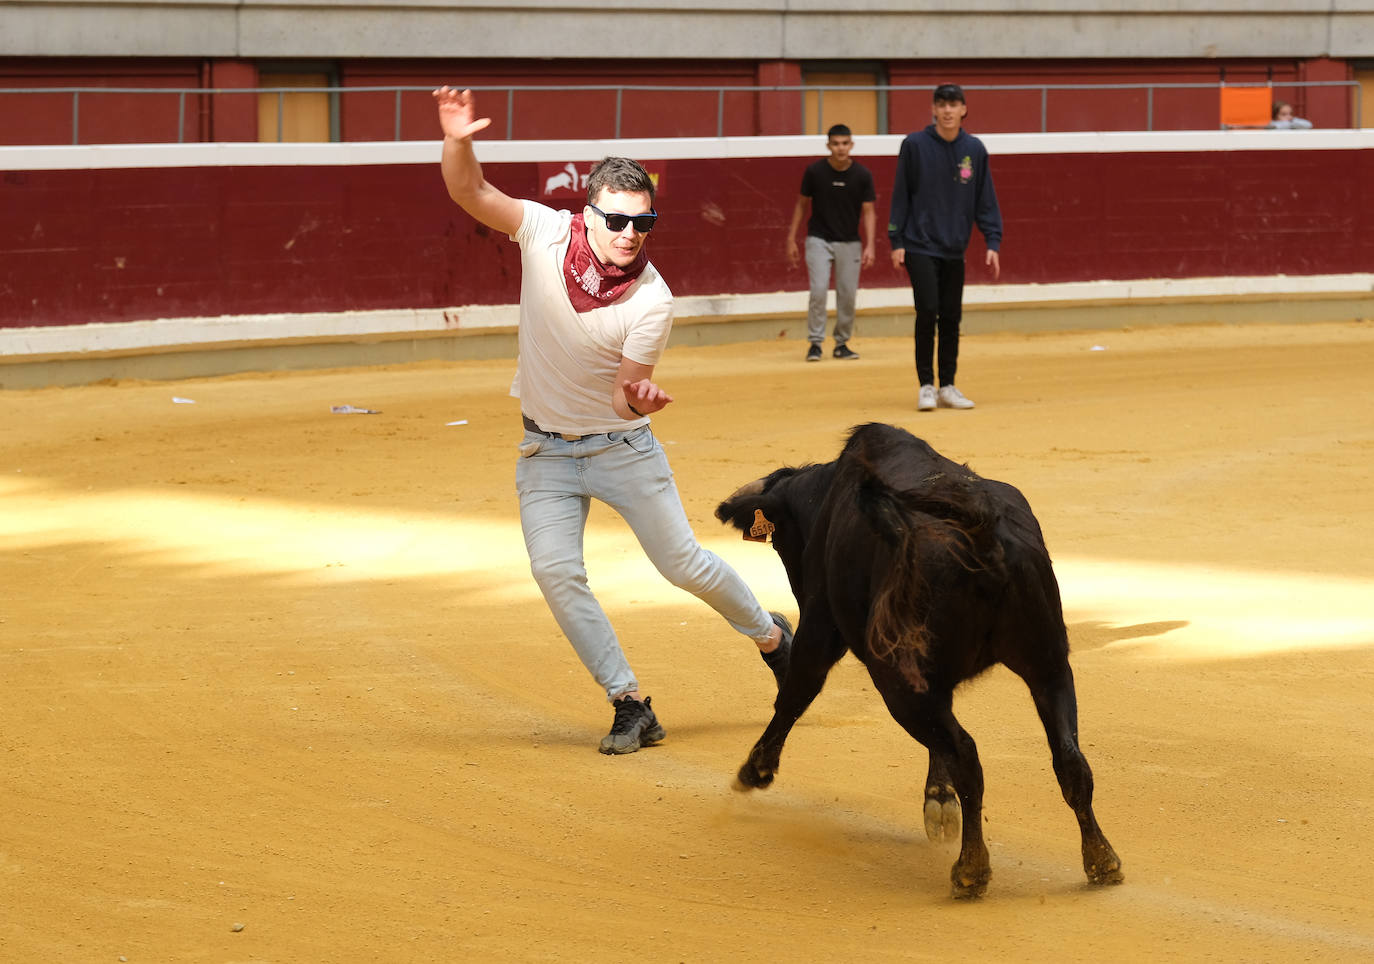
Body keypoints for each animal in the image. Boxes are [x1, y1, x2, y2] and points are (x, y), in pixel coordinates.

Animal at [714, 422, 1121, 900]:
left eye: (780, 541)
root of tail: (981, 536)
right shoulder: (941, 679)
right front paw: (939, 799)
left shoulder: (821, 626)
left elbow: (797, 691)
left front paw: (754, 771)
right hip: (1049, 663)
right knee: (1069, 759)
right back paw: (1101, 861)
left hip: (896, 681)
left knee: (968, 755)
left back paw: (971, 870)